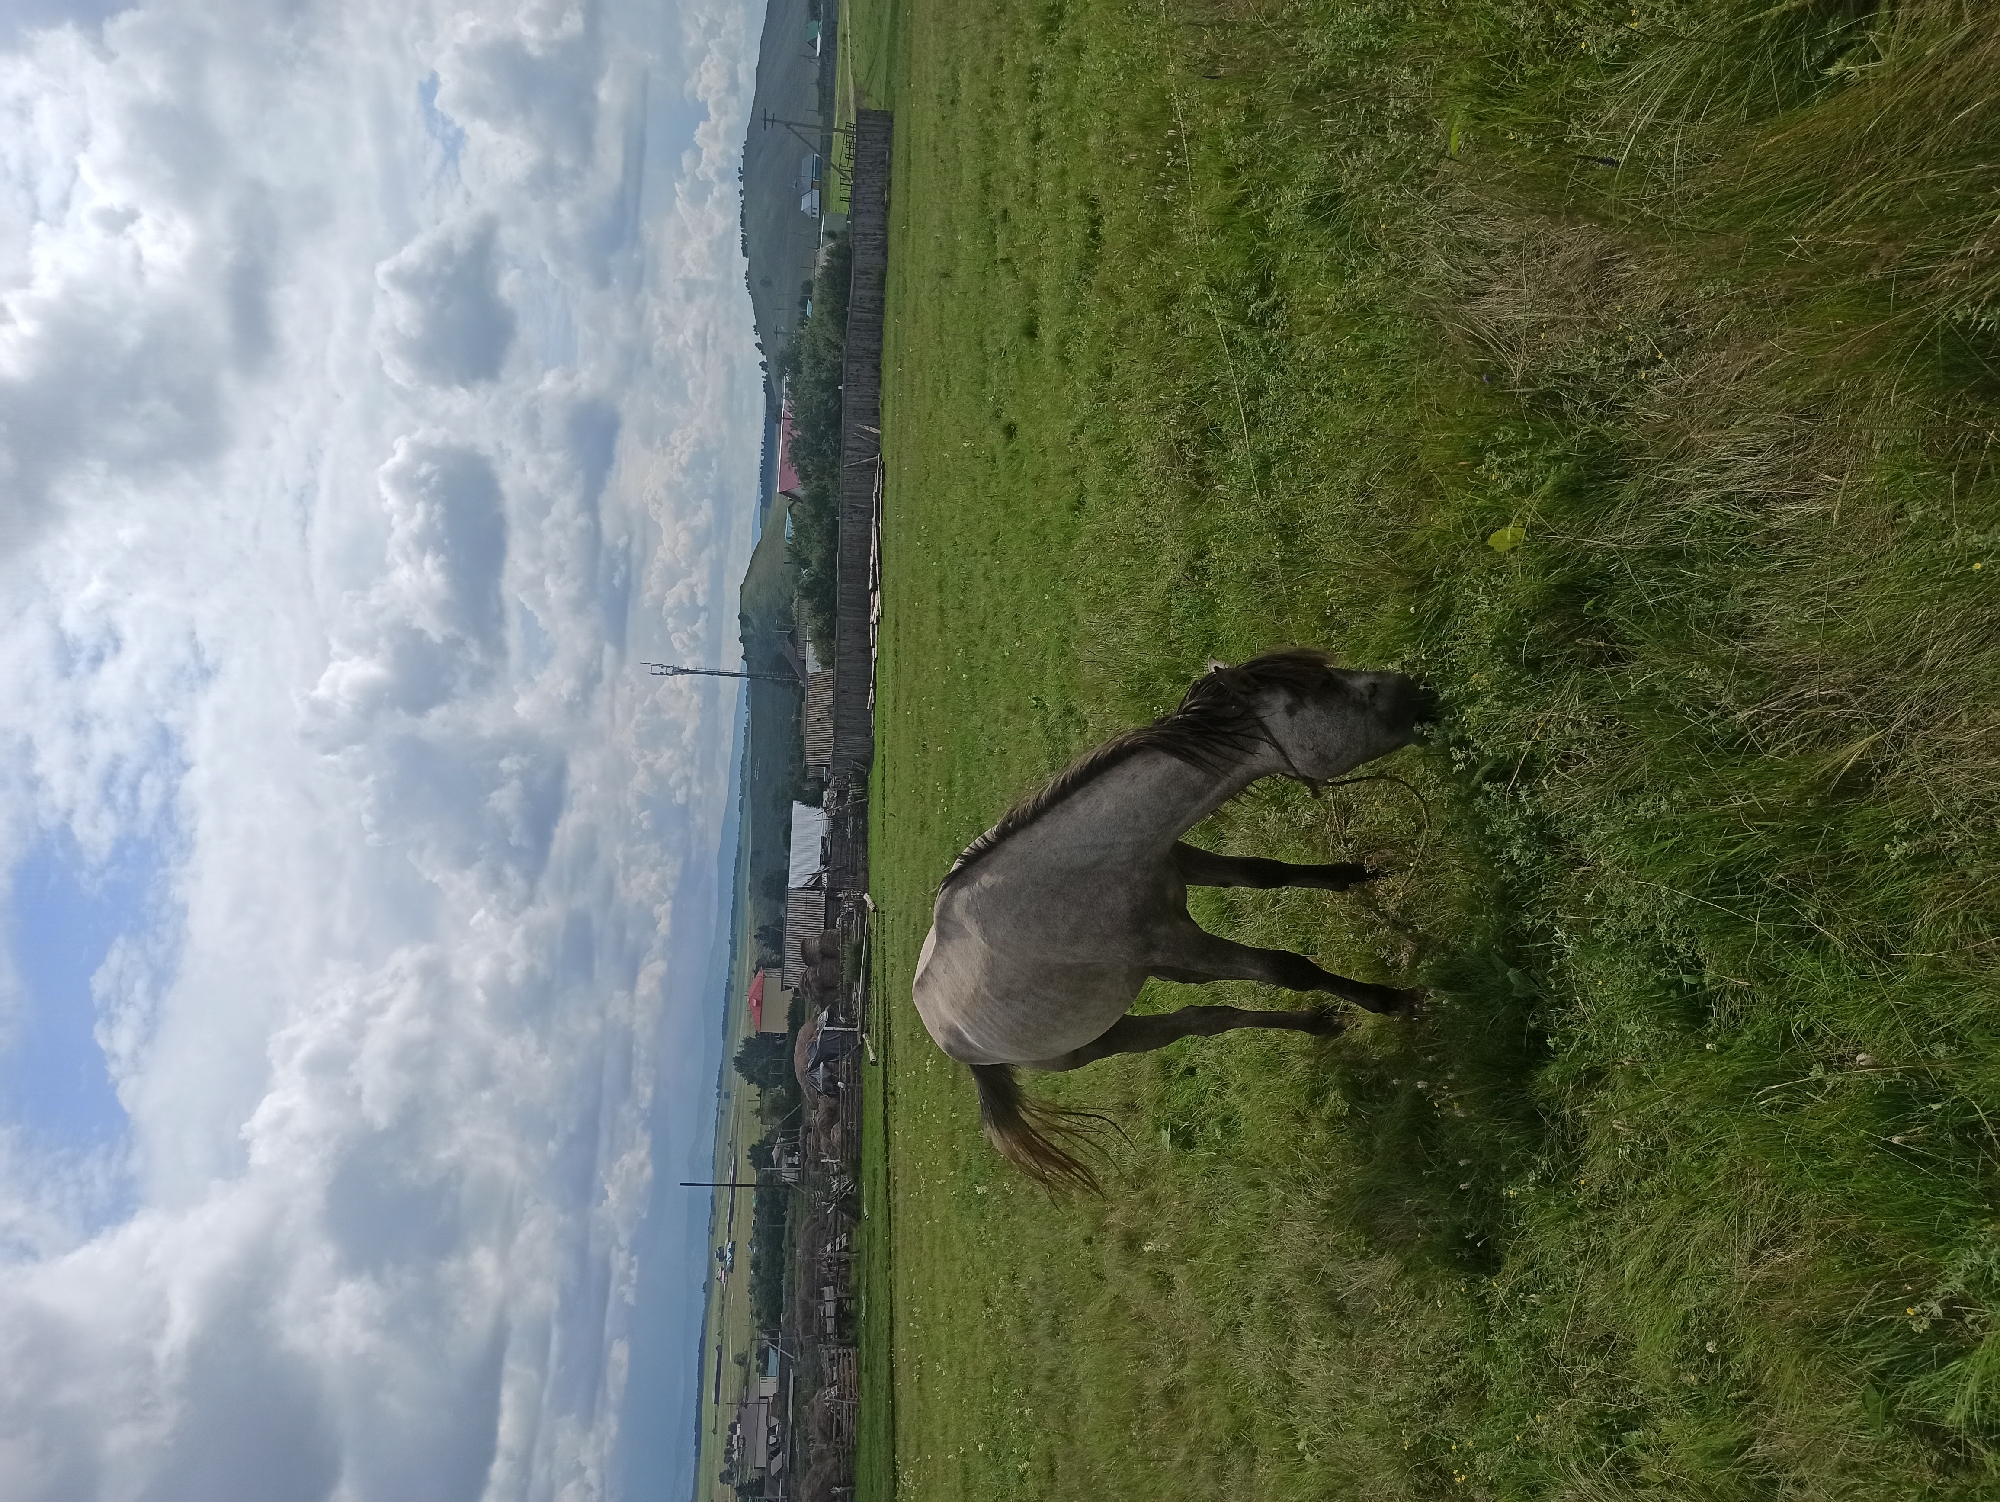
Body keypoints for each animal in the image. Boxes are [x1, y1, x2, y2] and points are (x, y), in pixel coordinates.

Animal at [911, 649, 1434, 1191]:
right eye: (1323, 688)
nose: (1419, 692)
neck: (1078, 864)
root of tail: (944, 1031)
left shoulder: (1175, 863)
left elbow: (1263, 873)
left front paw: (1360, 873)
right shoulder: (1174, 942)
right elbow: (1288, 969)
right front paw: (1392, 1000)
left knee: (1205, 1014)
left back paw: (1317, 1022)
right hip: (1102, 1040)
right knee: (1192, 1025)